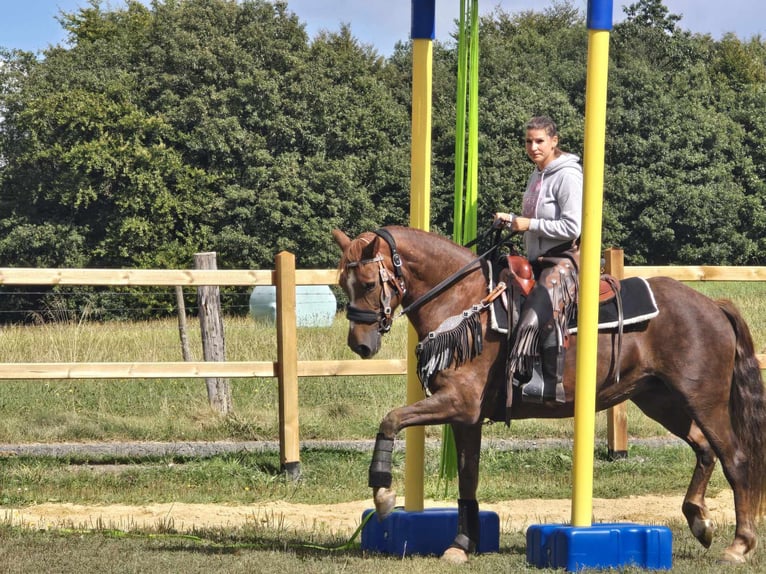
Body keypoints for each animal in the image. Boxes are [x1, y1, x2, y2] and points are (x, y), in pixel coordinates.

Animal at [334, 226, 766, 568]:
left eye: (369, 284)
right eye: (342, 284)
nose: (359, 344)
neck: (464, 303)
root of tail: (712, 305)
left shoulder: (457, 402)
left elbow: (391, 419)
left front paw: (383, 493)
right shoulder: (465, 417)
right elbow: (468, 479)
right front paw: (461, 544)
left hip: (703, 400)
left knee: (736, 459)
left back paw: (739, 545)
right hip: (661, 401)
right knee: (703, 448)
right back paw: (699, 520)